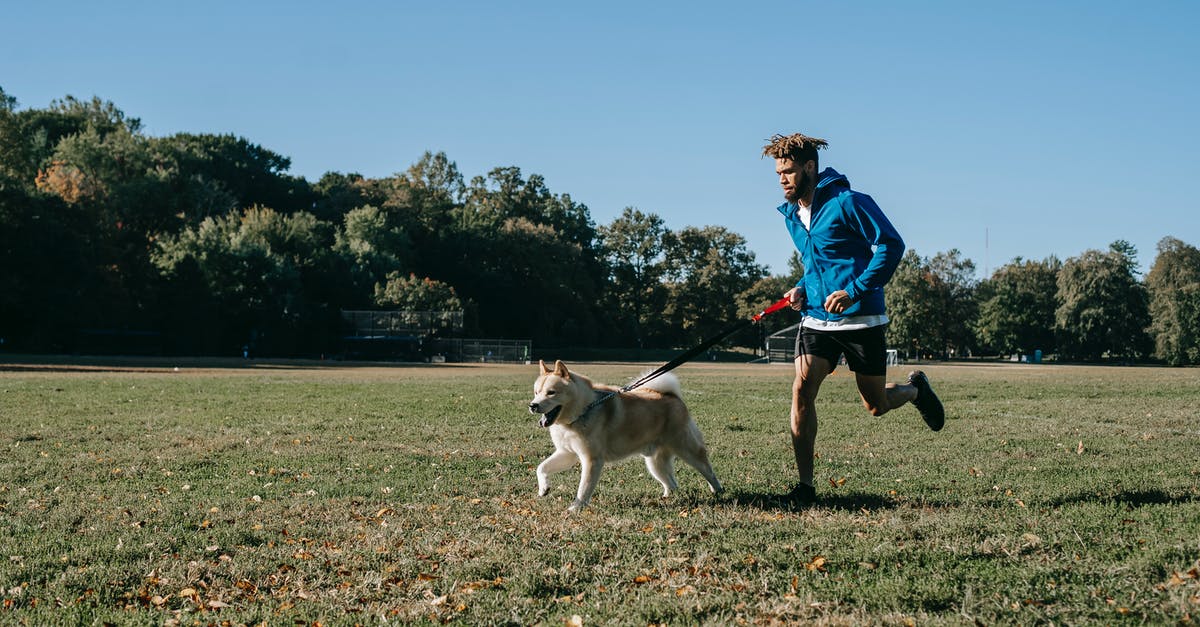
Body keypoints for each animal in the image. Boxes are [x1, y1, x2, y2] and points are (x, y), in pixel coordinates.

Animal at [528, 357, 720, 509]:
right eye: (536, 392)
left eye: (551, 392)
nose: (533, 405)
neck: (583, 409)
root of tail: (674, 397)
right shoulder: (567, 454)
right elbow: (541, 467)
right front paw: (543, 488)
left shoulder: (592, 460)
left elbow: (583, 488)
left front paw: (575, 509)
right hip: (655, 462)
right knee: (672, 484)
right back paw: (666, 498)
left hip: (687, 449)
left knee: (707, 470)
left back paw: (717, 490)